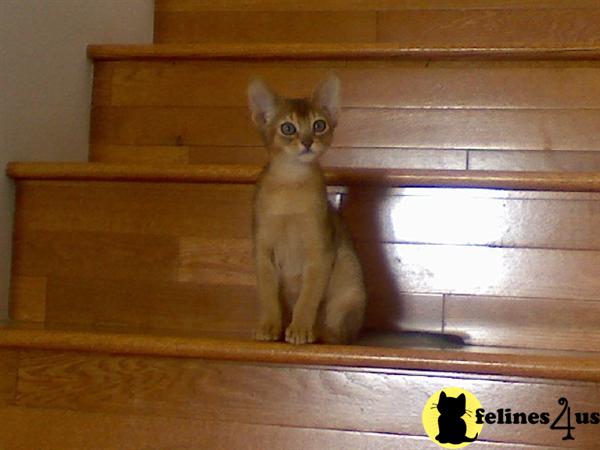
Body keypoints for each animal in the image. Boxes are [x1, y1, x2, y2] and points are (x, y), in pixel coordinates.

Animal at [247, 75, 366, 346]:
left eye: (319, 125)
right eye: (288, 128)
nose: (308, 142)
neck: (290, 184)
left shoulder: (319, 253)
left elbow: (308, 298)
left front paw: (301, 328)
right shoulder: (263, 251)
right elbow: (268, 294)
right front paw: (269, 326)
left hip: (348, 287)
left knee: (340, 334)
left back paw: (320, 333)